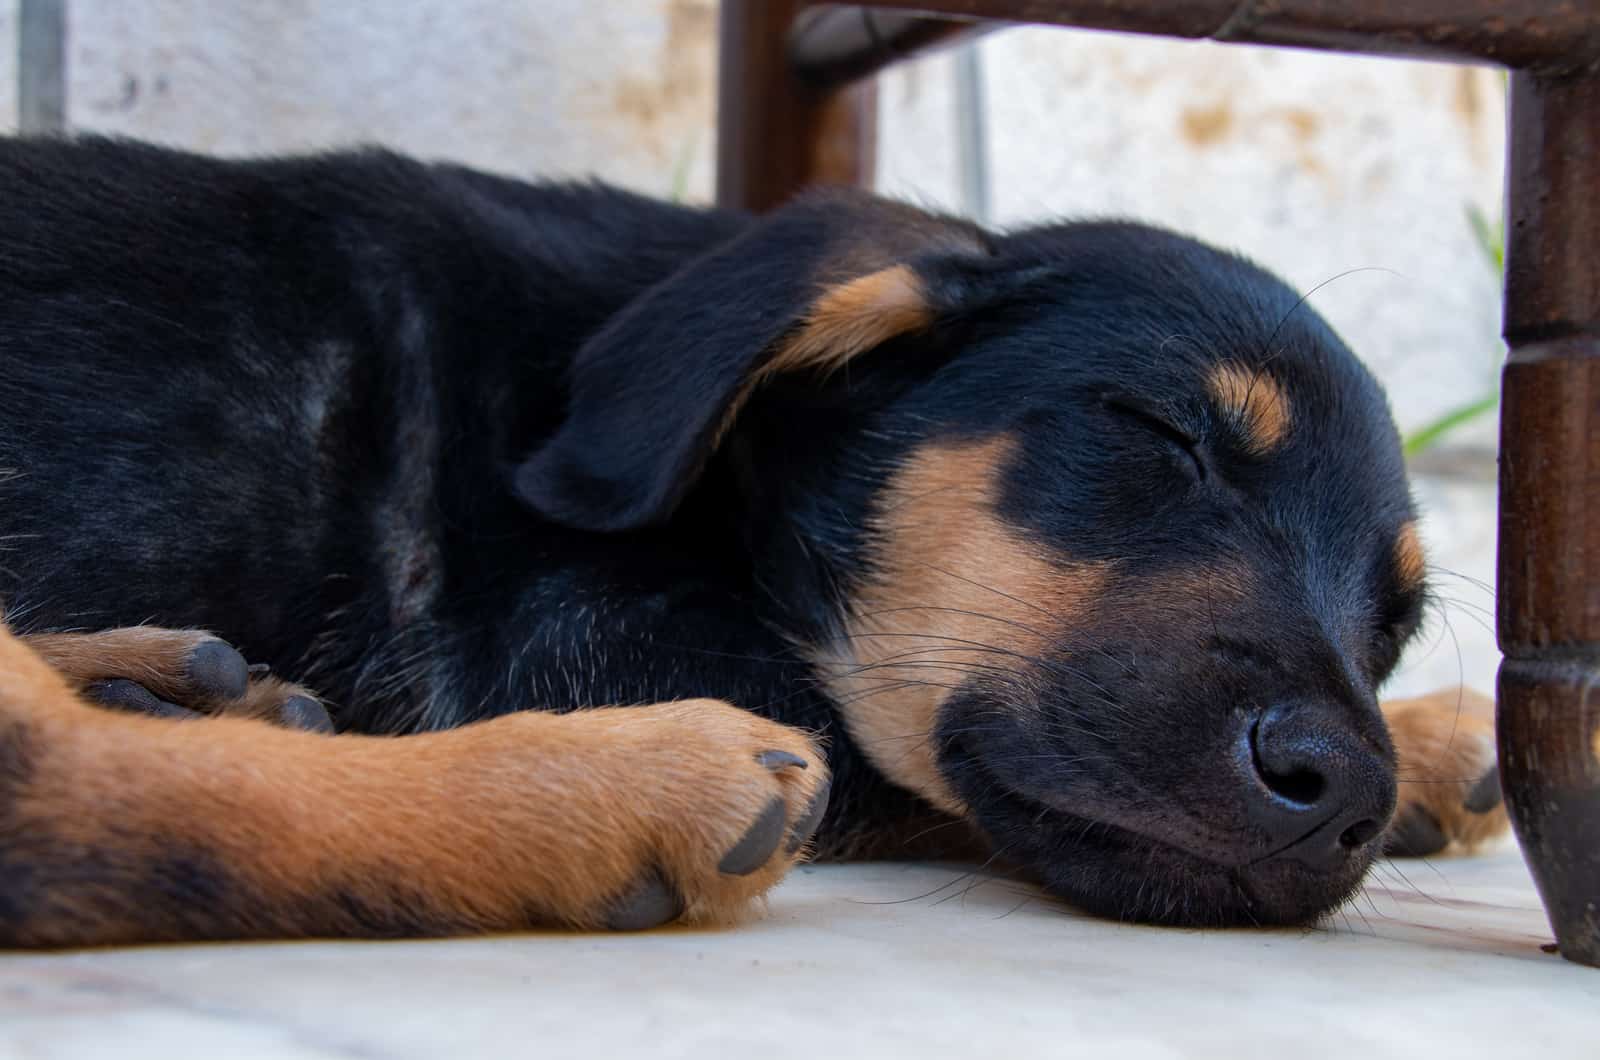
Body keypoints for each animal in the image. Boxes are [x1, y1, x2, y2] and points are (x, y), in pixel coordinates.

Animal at [0, 135, 1497, 947]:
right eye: (1160, 433)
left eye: (1394, 625)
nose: (1343, 788)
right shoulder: (579, 638)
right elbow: (904, 773)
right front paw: (1437, 751)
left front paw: (1441, 746)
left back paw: (172, 681)